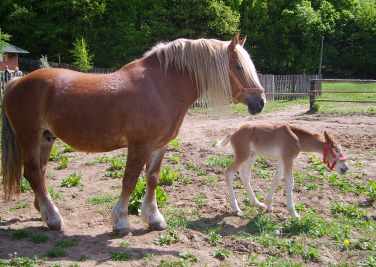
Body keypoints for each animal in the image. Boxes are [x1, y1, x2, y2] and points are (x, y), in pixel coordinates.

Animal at [1, 33, 266, 234]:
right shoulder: (140, 146)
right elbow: (129, 181)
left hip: (46, 139)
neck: (161, 87)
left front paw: (154, 218)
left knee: (40, 173)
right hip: (29, 138)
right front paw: (121, 222)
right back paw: (54, 218)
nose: (260, 102)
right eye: (238, 67)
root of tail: (16, 82)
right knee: (33, 174)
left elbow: (152, 179)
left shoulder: (159, 146)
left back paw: (43, 212)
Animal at [219, 123, 348, 220]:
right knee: (229, 173)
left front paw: (269, 205)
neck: (297, 138)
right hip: (243, 155)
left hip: (252, 155)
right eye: (336, 150)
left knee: (244, 175)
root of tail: (233, 133)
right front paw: (294, 213)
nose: (345, 168)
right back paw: (236, 208)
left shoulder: (282, 158)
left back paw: (257, 203)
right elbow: (289, 182)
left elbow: (277, 179)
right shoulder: (288, 159)